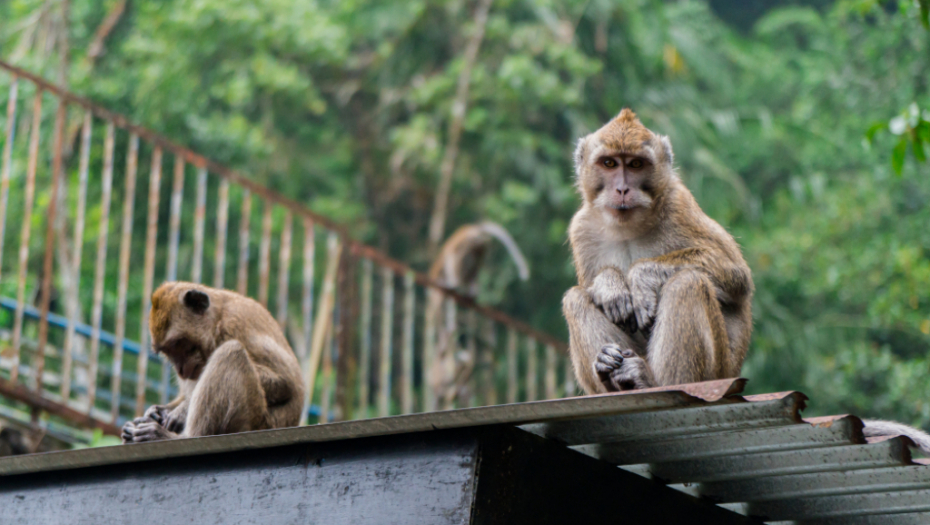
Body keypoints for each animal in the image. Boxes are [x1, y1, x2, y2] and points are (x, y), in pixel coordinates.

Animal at [121, 282, 302, 442]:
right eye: (167, 351)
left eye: (178, 344)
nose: (180, 369)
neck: (218, 320)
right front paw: (156, 411)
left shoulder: (235, 325)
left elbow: (286, 384)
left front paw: (183, 410)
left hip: (257, 421)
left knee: (231, 353)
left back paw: (179, 436)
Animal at [560, 107, 752, 392]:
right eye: (609, 163)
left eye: (636, 164)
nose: (622, 189)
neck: (628, 228)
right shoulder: (582, 228)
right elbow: (590, 288)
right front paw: (609, 284)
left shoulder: (679, 206)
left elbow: (736, 276)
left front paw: (641, 277)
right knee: (575, 298)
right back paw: (612, 373)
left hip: (718, 370)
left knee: (687, 282)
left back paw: (651, 381)